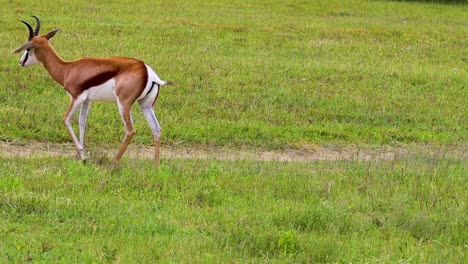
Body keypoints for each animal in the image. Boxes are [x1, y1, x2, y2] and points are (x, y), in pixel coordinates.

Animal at [12, 16, 169, 165]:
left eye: (28, 49)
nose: (20, 62)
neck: (67, 69)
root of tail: (146, 70)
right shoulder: (87, 101)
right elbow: (82, 122)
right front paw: (79, 156)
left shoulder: (76, 98)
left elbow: (66, 119)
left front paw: (83, 156)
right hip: (146, 105)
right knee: (156, 129)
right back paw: (156, 166)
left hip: (123, 104)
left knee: (130, 131)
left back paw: (114, 162)